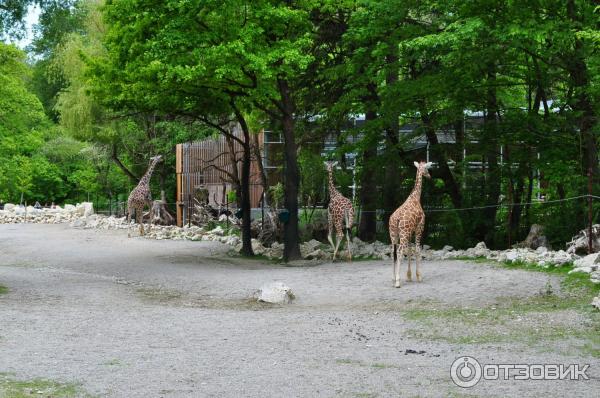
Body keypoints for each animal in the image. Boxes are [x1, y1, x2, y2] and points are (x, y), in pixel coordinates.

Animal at [390, 160, 432, 288]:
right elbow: (417, 250)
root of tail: (396, 219)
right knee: (399, 252)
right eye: (427, 168)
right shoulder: (419, 227)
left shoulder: (410, 231)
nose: (429, 176)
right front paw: (419, 276)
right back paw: (397, 282)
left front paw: (409, 276)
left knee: (393, 252)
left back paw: (393, 278)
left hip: (393, 234)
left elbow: (409, 250)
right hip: (403, 234)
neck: (416, 197)